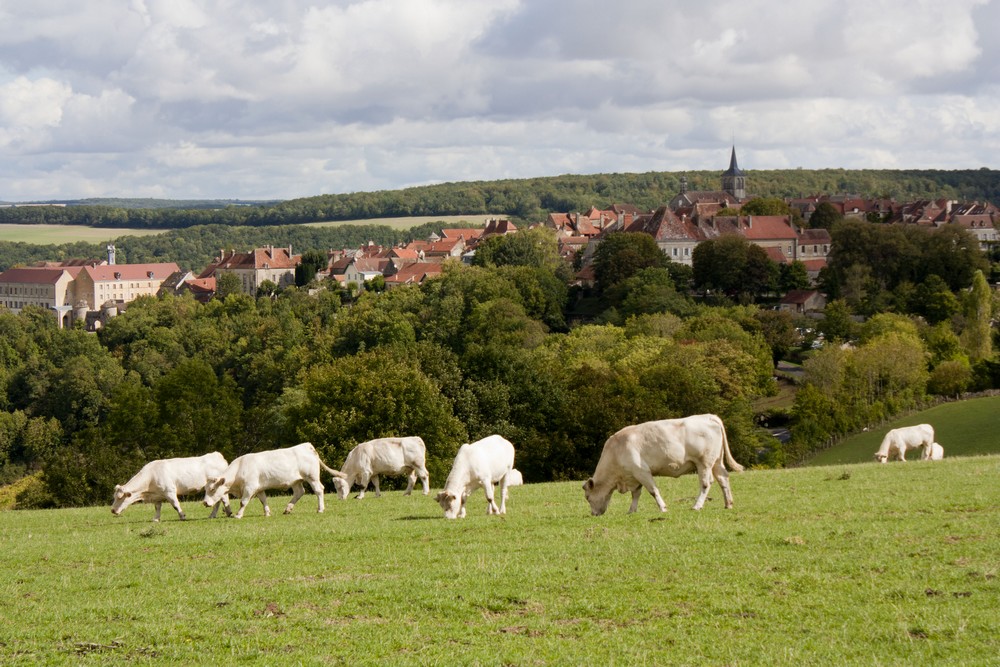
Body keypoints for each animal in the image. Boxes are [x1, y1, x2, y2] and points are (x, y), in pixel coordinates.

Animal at [201, 444, 346, 520]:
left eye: (212, 489)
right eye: (206, 489)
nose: (205, 502)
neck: (240, 468)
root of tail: (307, 446)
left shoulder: (250, 487)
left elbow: (243, 502)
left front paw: (238, 515)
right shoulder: (259, 488)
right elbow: (263, 500)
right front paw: (267, 513)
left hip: (312, 477)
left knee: (319, 490)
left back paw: (320, 509)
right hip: (296, 480)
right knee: (299, 492)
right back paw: (288, 509)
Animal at [580, 414, 744, 520]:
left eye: (587, 497)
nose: (594, 514)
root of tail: (709, 416)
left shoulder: (642, 471)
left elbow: (653, 491)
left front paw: (663, 508)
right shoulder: (634, 475)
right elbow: (636, 494)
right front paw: (631, 510)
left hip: (704, 462)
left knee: (706, 483)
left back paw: (697, 506)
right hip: (716, 461)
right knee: (723, 478)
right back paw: (728, 504)